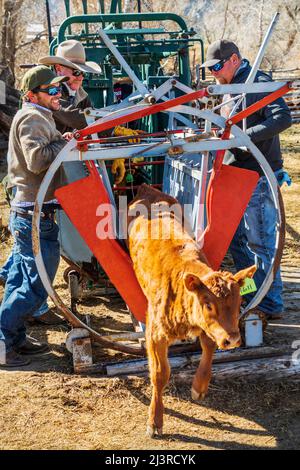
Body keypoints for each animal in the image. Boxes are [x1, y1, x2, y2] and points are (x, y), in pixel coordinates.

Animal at [126, 184, 255, 436]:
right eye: (208, 304)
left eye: (238, 303)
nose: (234, 339)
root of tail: (148, 190)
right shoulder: (154, 333)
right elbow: (160, 374)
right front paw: (155, 421)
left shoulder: (209, 328)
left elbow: (209, 347)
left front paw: (199, 387)